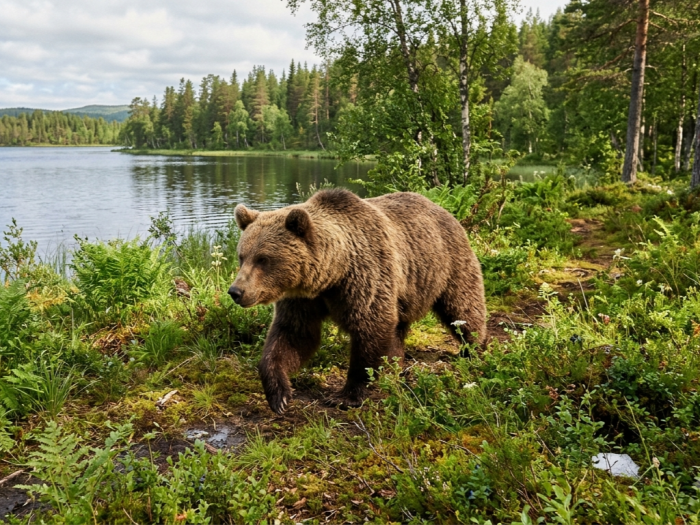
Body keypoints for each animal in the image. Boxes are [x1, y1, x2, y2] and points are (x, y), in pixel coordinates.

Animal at [229, 188, 486, 414]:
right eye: (242, 256)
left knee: (463, 307)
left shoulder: (365, 277)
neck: (332, 275)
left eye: (263, 259)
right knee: (400, 326)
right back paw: (396, 365)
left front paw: (346, 395)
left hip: (447, 263)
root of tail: (443, 209)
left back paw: (474, 349)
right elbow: (293, 335)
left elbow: (370, 328)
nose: (236, 291)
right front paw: (279, 395)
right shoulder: (302, 299)